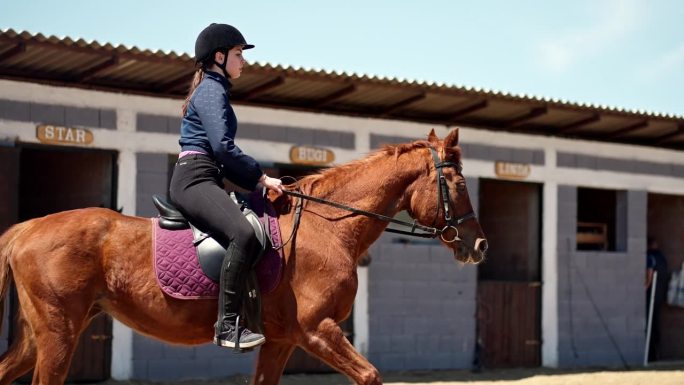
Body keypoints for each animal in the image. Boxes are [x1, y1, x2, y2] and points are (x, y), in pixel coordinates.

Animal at [0, 129, 486, 384]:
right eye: (459, 185)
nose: (478, 246)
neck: (325, 230)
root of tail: (29, 227)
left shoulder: (282, 340)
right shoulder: (318, 331)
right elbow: (369, 375)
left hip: (40, 335)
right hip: (58, 334)